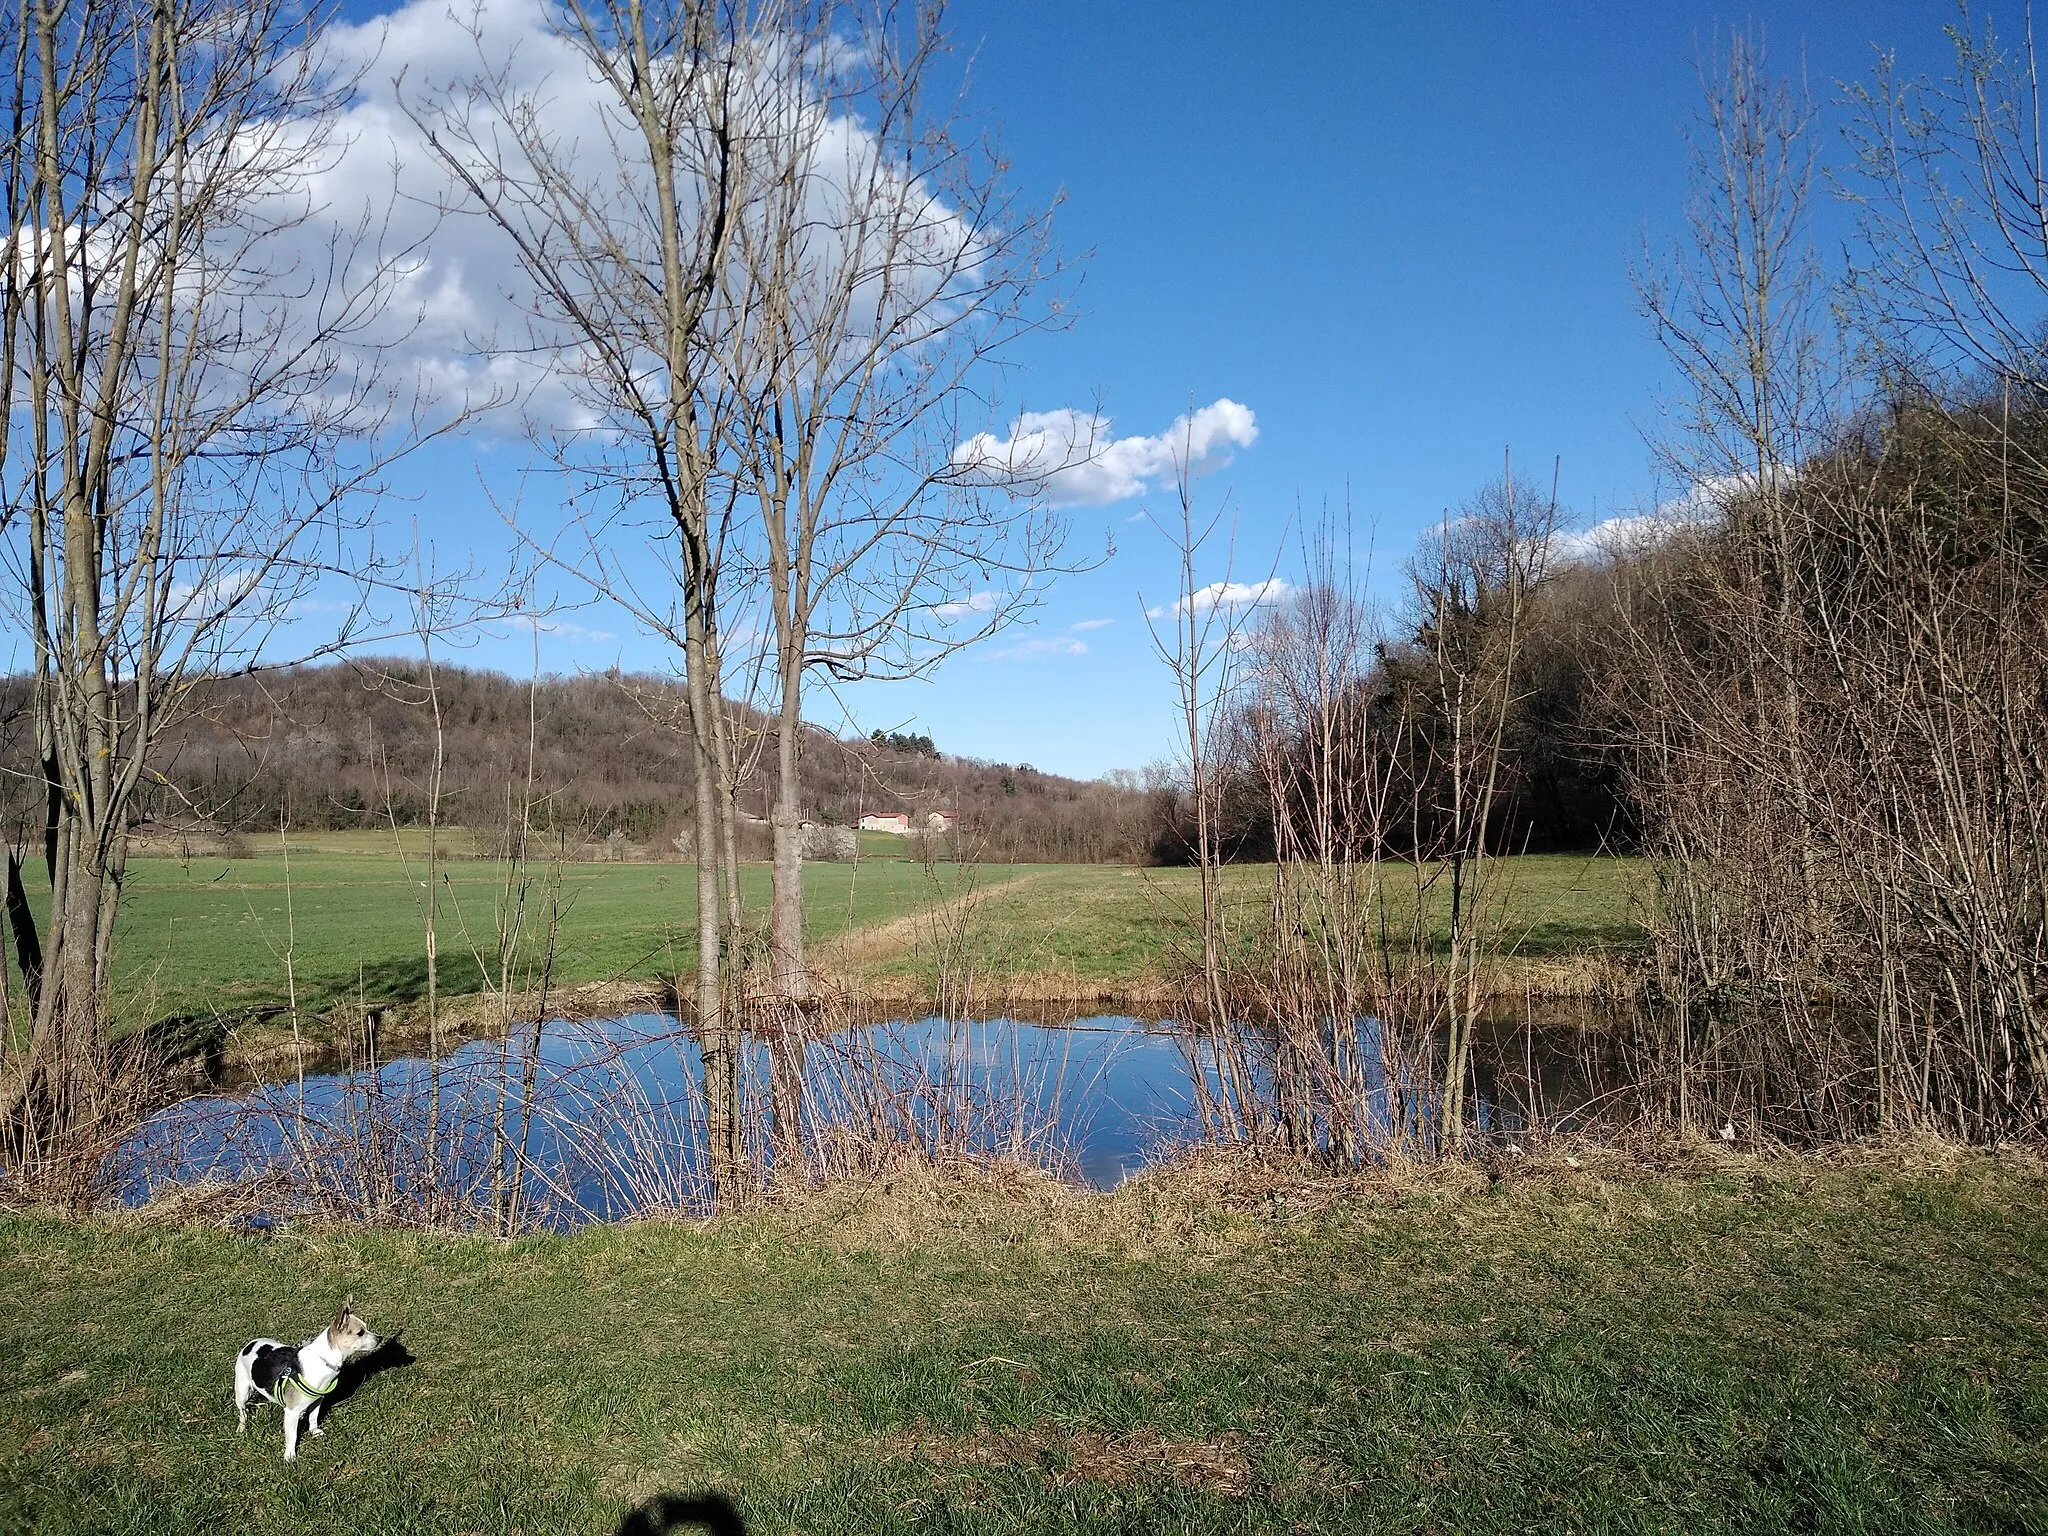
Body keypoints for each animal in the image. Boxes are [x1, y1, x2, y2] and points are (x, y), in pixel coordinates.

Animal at [232, 1310, 380, 1466]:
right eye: (360, 1333)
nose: (380, 1338)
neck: (323, 1360)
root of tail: (250, 1344)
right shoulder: (291, 1412)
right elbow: (292, 1436)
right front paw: (290, 1456)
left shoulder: (318, 1399)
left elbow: (313, 1417)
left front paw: (314, 1431)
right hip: (242, 1391)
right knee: (242, 1411)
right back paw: (242, 1427)